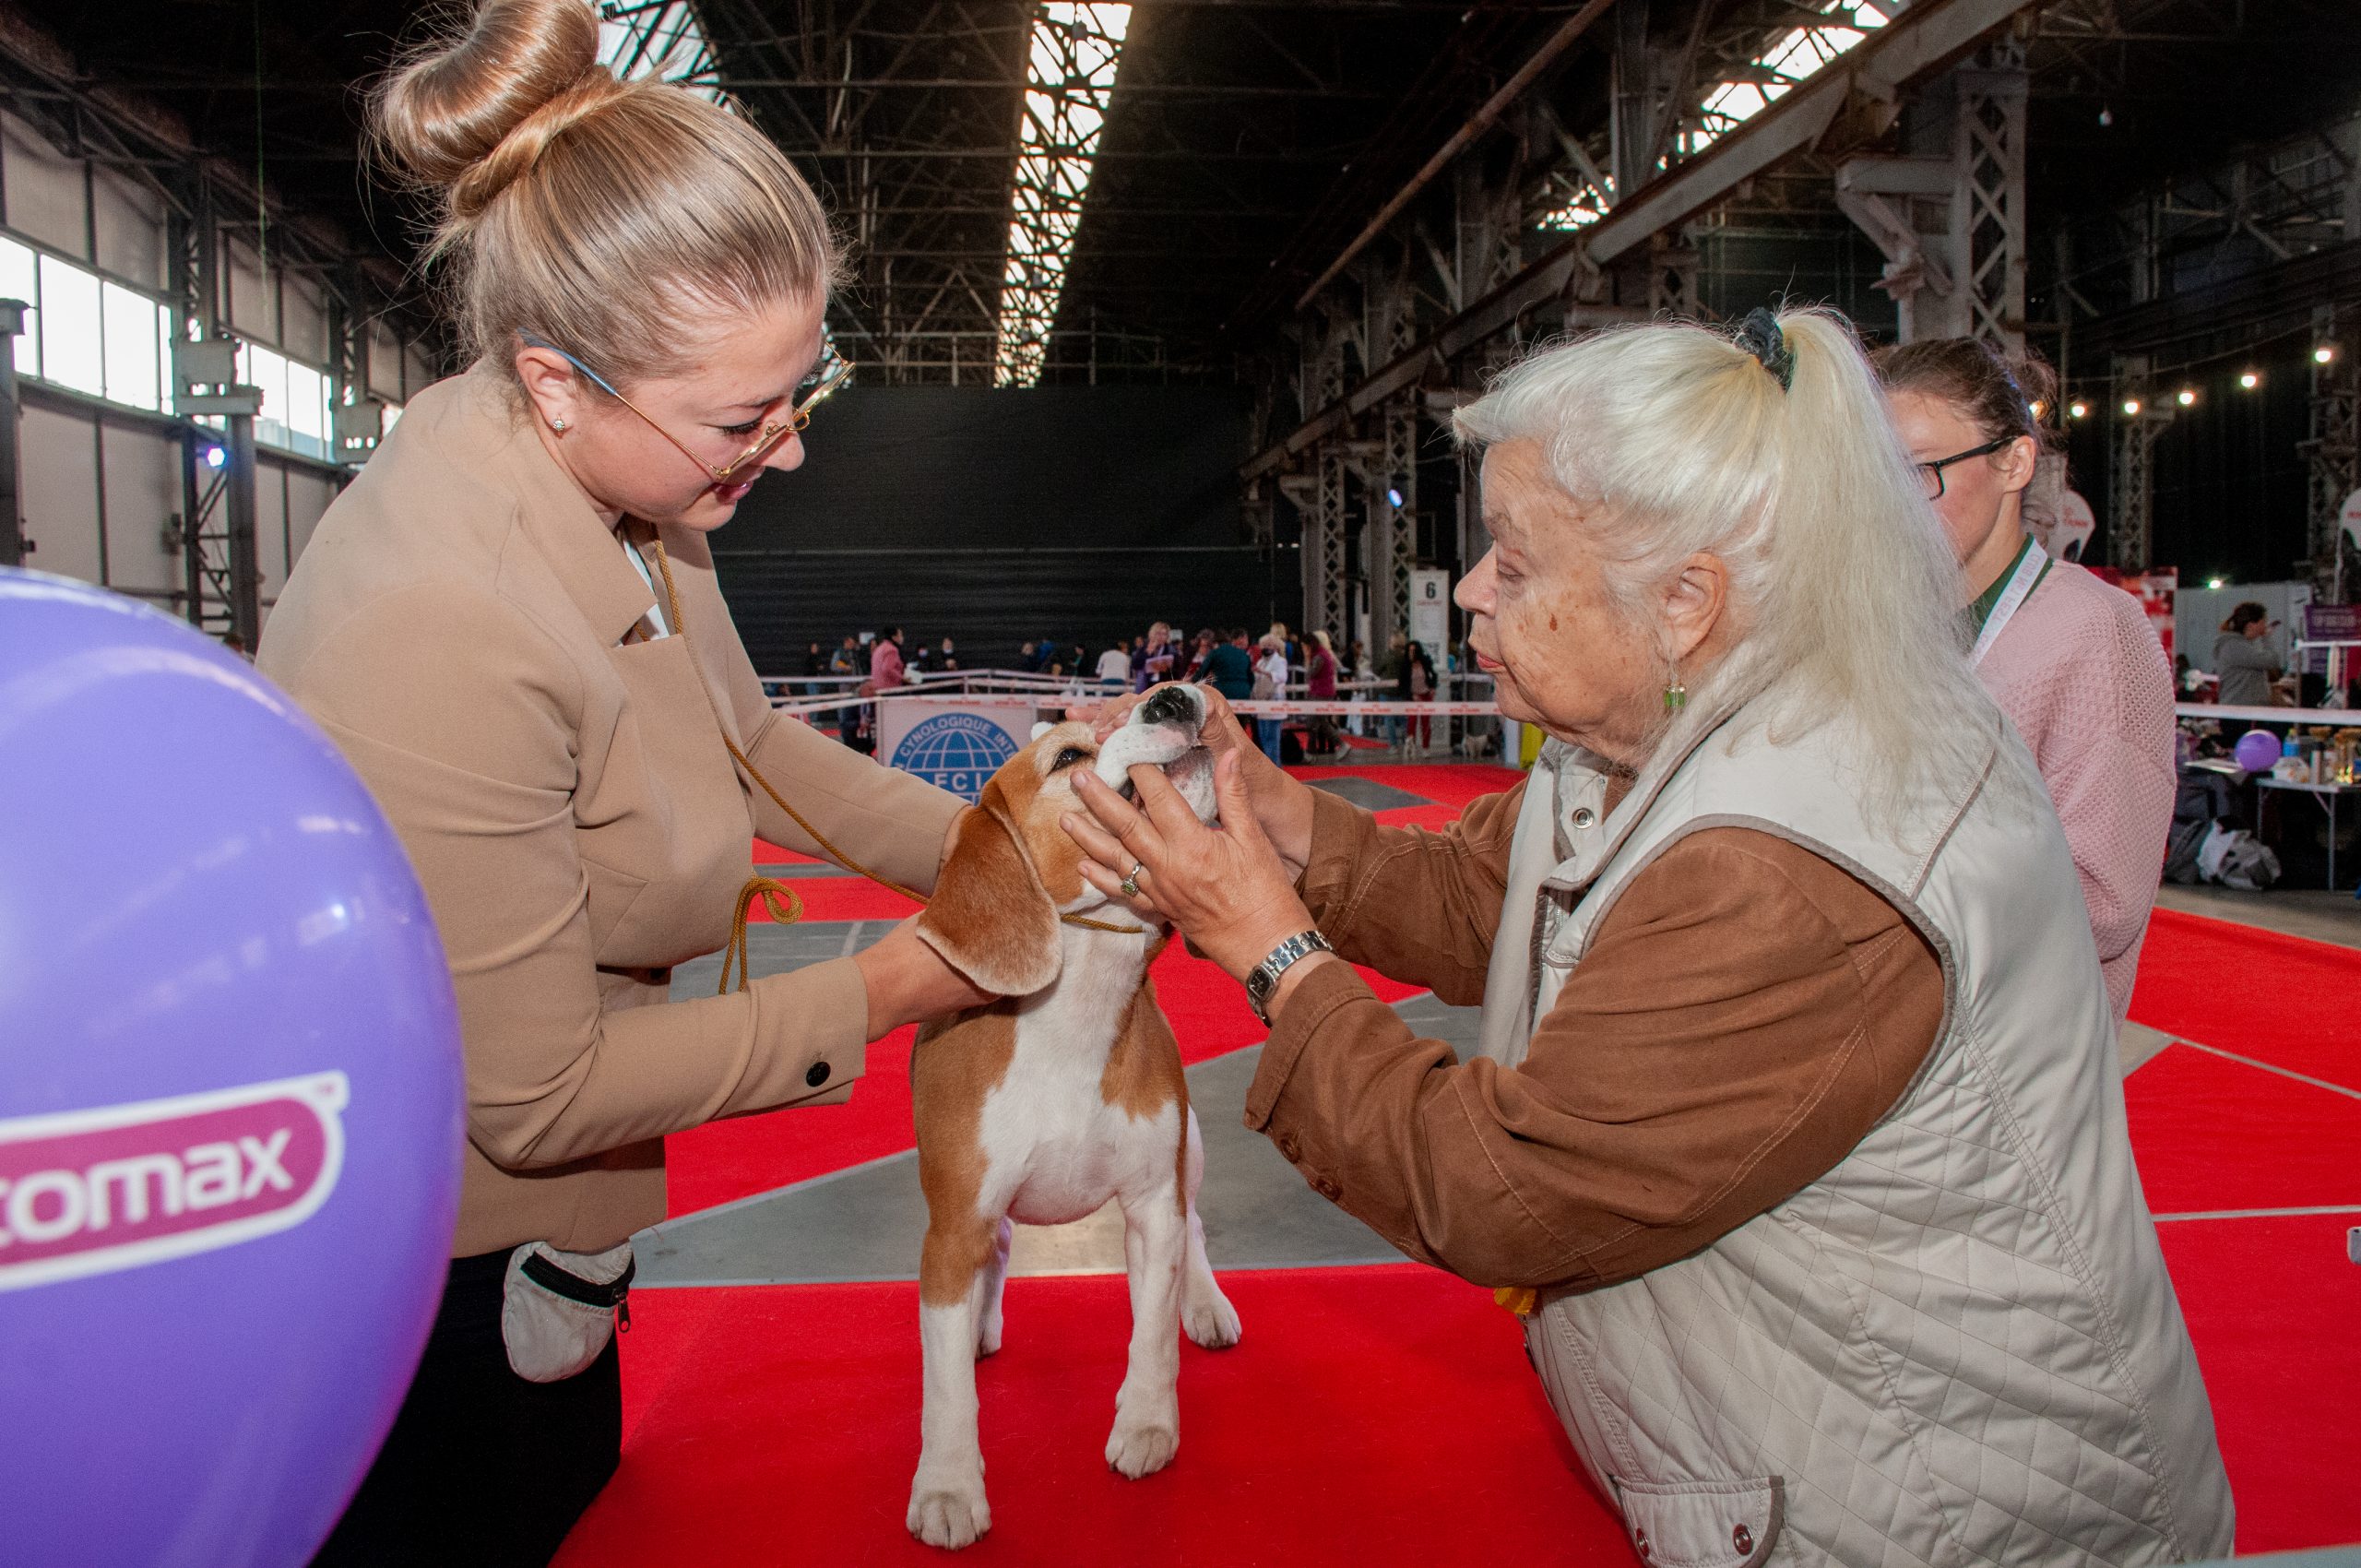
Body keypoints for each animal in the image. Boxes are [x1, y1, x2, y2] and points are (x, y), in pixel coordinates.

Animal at [901, 680, 1246, 1549]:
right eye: (1065, 757)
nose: (1172, 694)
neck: (1079, 1009)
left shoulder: (1153, 1204)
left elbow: (1151, 1332)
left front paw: (1148, 1424)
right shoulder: (950, 1231)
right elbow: (945, 1387)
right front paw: (948, 1485)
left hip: (1191, 1150)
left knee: (1195, 1232)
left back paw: (1205, 1301)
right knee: (1000, 1248)